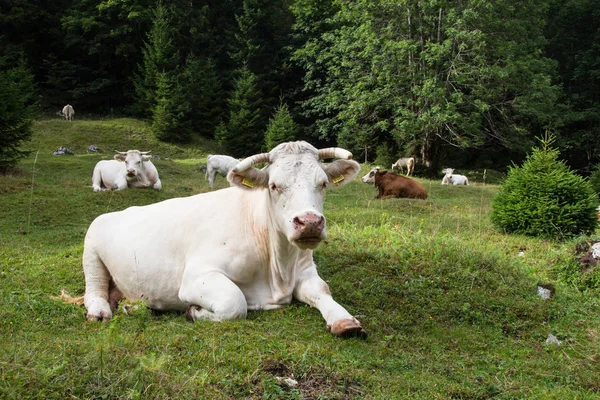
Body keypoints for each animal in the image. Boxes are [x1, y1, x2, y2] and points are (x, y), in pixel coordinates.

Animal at [83, 141, 366, 338]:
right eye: (274, 185)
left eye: (323, 184)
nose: (309, 222)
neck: (278, 268)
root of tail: (117, 212)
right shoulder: (196, 276)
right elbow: (235, 303)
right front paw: (194, 311)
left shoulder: (304, 269)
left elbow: (323, 290)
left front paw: (344, 320)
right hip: (91, 251)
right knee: (94, 288)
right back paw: (99, 311)